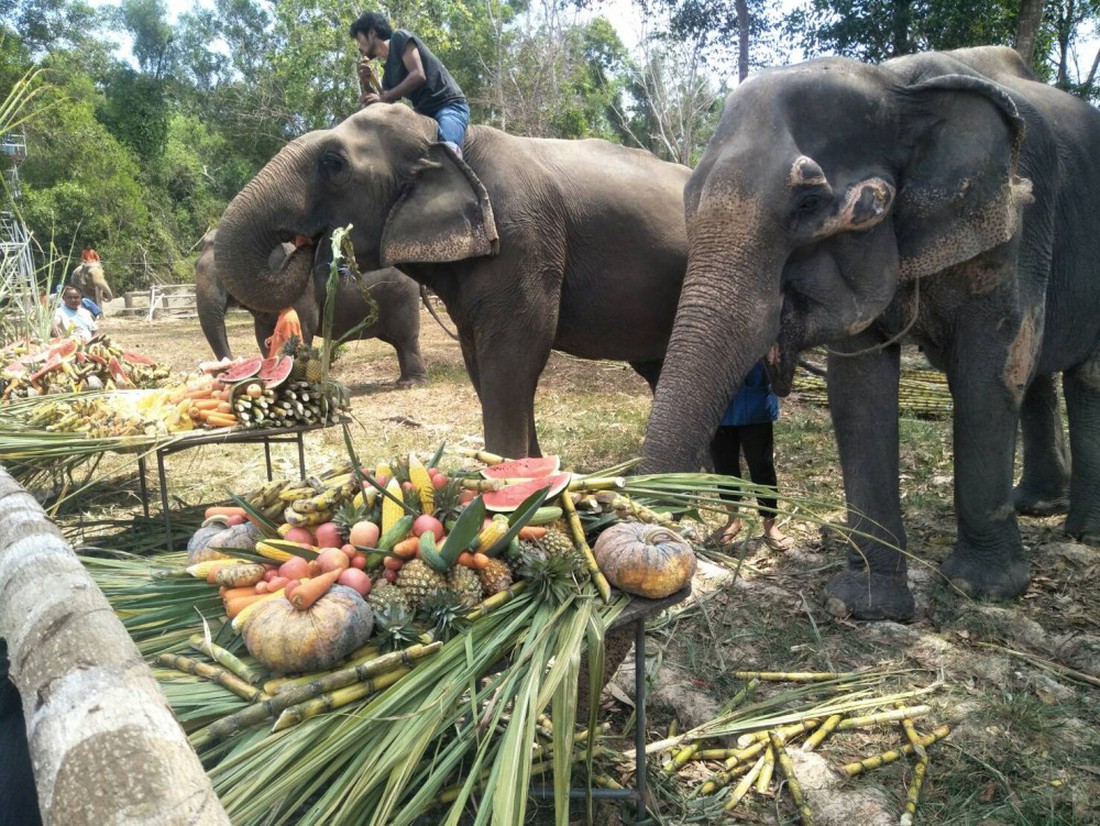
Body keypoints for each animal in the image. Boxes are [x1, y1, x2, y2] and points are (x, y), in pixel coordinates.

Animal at [193, 223, 424, 384]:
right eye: (195, 265)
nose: (227, 367)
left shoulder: (304, 289)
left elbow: (304, 327)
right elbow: (262, 333)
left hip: (403, 297)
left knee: (406, 338)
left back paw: (411, 383)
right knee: (396, 341)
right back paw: (403, 380)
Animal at [642, 46, 1100, 620]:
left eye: (808, 204)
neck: (895, 84)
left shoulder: (1014, 222)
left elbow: (991, 371)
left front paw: (984, 588)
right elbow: (859, 390)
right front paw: (864, 604)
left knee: (1080, 376)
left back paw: (1082, 533)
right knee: (1042, 375)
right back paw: (1036, 505)